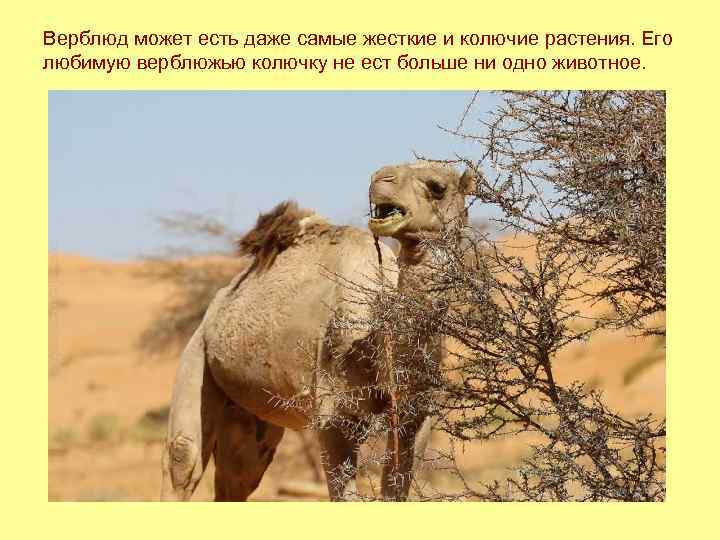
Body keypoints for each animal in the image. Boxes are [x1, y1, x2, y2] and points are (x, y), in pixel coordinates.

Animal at [160, 161, 473, 501]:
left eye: (437, 187)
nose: (381, 179)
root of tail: (218, 302)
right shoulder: (334, 418)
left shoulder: (417, 417)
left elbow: (395, 489)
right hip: (196, 353)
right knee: (183, 459)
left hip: (248, 411)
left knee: (239, 476)